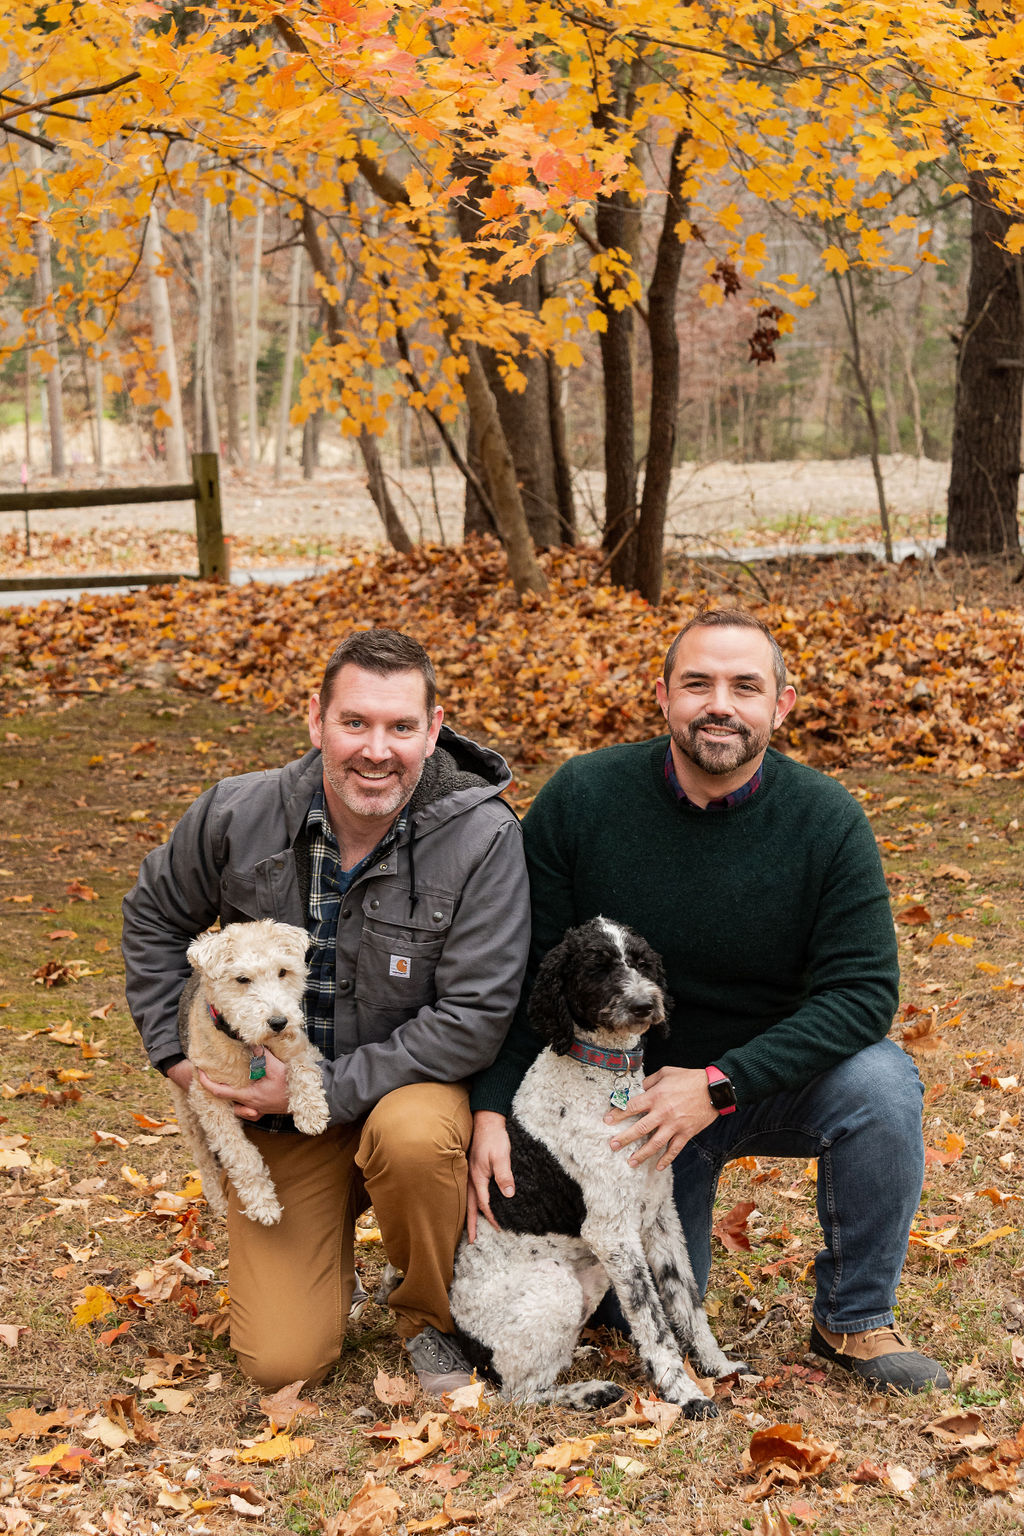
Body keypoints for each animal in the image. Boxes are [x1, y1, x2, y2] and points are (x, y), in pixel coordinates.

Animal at [168, 921, 328, 1222]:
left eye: (283, 972)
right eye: (242, 979)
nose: (279, 1022)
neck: (250, 1046)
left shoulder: (302, 1048)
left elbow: (302, 1068)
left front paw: (311, 1113)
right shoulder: (209, 1098)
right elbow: (242, 1155)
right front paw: (262, 1203)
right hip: (188, 1112)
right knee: (205, 1161)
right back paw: (218, 1201)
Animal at [448, 915, 746, 1406]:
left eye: (642, 963)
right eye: (597, 968)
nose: (647, 1003)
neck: (605, 1075)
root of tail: (470, 1352)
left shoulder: (659, 1215)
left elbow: (685, 1301)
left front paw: (717, 1367)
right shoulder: (612, 1233)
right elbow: (653, 1321)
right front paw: (684, 1393)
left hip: (590, 1278)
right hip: (557, 1287)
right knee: (518, 1395)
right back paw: (588, 1392)